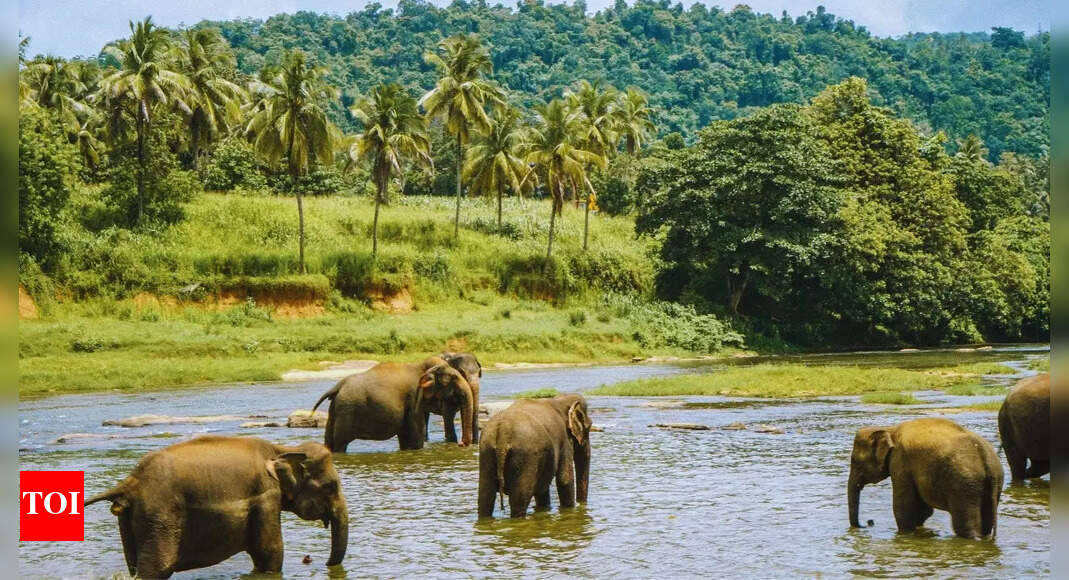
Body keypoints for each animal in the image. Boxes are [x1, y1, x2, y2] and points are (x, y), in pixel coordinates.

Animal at [83, 435, 348, 578]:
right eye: (330, 486)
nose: (321, 563)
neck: (282, 449)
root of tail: (131, 481)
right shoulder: (265, 495)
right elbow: (270, 554)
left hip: (132, 518)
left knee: (135, 567)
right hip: (161, 514)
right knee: (157, 569)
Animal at [312, 356, 475, 451]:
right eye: (454, 377)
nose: (462, 444)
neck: (421, 366)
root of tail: (337, 387)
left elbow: (406, 437)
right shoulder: (414, 398)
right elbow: (415, 436)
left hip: (335, 410)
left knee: (330, 442)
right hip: (347, 411)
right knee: (340, 443)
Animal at [848, 417, 1003, 540]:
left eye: (856, 462)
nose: (869, 522)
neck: (889, 429)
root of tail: (985, 456)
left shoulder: (900, 461)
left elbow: (903, 507)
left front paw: (905, 534)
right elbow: (923, 510)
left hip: (964, 485)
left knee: (965, 525)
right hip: (993, 483)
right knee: (987, 523)